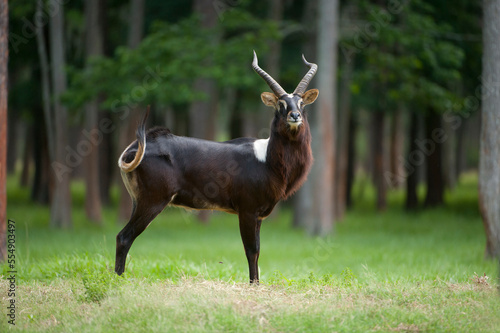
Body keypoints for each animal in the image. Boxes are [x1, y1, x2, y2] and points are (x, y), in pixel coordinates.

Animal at [115, 50, 318, 282]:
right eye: (280, 104)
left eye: (301, 103)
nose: (295, 116)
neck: (267, 159)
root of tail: (138, 146)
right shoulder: (247, 210)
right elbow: (252, 250)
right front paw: (253, 285)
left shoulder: (258, 216)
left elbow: (257, 250)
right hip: (152, 201)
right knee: (124, 236)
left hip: (138, 202)